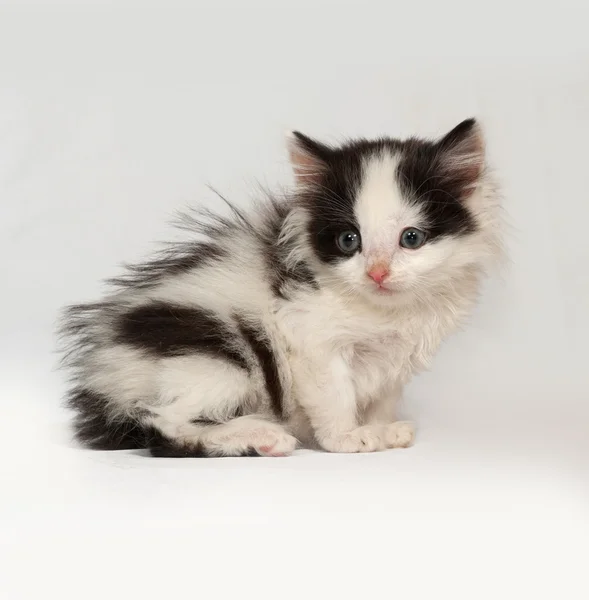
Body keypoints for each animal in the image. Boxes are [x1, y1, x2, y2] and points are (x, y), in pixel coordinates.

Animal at [58, 117, 500, 458]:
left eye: (411, 238)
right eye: (349, 241)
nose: (377, 273)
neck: (384, 309)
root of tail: (105, 373)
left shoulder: (396, 357)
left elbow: (382, 395)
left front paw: (383, 427)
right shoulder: (309, 334)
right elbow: (334, 392)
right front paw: (347, 438)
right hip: (215, 355)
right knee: (162, 423)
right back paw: (259, 437)